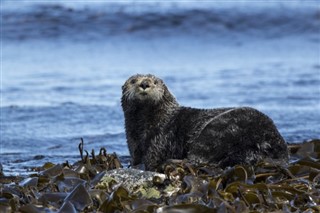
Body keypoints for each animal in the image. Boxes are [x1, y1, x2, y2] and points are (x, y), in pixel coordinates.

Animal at [120, 74, 290, 171]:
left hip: (217, 130)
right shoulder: (133, 140)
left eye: (155, 82)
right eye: (133, 81)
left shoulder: (161, 136)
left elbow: (152, 158)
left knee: (196, 160)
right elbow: (135, 156)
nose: (145, 83)